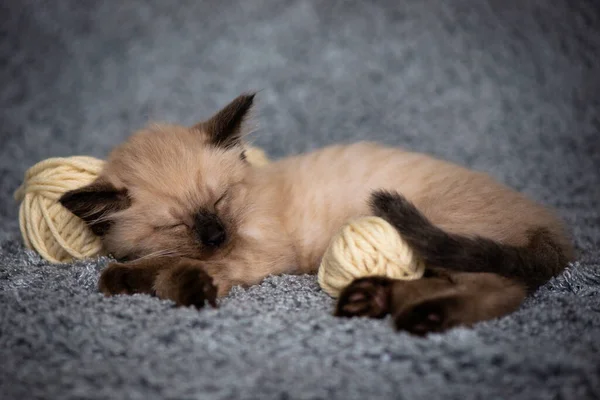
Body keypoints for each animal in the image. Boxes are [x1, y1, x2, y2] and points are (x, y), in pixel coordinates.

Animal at [59, 93, 572, 334]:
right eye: (177, 223)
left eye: (221, 200)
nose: (215, 235)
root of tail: (555, 229)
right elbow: (156, 260)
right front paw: (125, 277)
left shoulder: (258, 252)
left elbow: (172, 270)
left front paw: (180, 286)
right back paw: (370, 300)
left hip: (434, 230)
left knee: (502, 288)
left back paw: (420, 319)